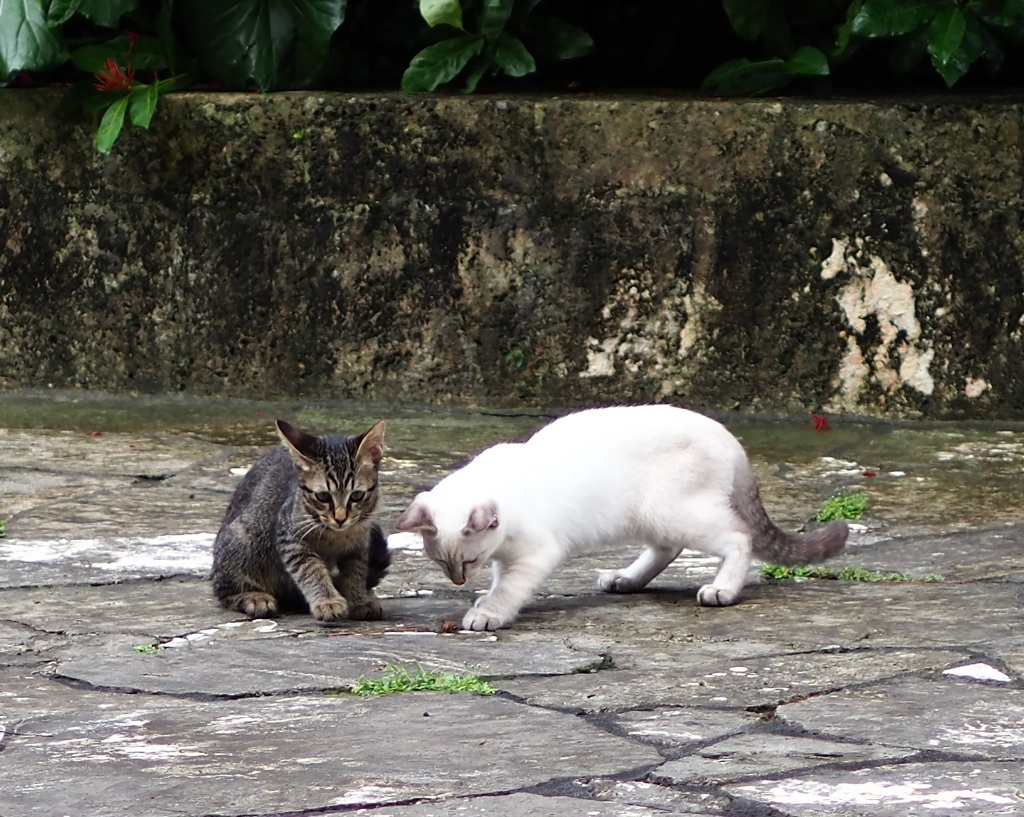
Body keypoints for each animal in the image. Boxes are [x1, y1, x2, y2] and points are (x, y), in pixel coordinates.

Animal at [209, 419, 389, 622]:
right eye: (323, 496)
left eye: (357, 495)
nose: (340, 518)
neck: (337, 535)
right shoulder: (290, 540)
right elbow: (312, 570)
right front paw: (327, 601)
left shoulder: (359, 545)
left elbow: (355, 572)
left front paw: (358, 600)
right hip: (241, 543)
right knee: (223, 590)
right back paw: (253, 597)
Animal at [395, 405, 843, 630]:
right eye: (442, 564)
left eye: (467, 561)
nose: (458, 581)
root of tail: (732, 440)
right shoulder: (507, 557)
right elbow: (499, 582)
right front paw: (484, 599)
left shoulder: (535, 554)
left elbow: (508, 590)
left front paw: (488, 614)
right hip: (653, 517)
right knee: (667, 549)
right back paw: (626, 580)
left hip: (669, 511)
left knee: (738, 538)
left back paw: (722, 590)